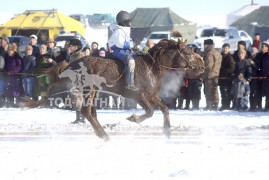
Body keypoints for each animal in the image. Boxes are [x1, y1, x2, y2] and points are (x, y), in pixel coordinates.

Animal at [21, 37, 204, 141]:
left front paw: (167, 133)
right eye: (188, 53)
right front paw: (133, 118)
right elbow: (151, 112)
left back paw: (102, 134)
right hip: (89, 90)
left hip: (92, 91)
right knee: (87, 111)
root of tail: (72, 63)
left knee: (89, 112)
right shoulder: (140, 96)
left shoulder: (152, 95)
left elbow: (165, 109)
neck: (152, 66)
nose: (202, 66)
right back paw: (104, 136)